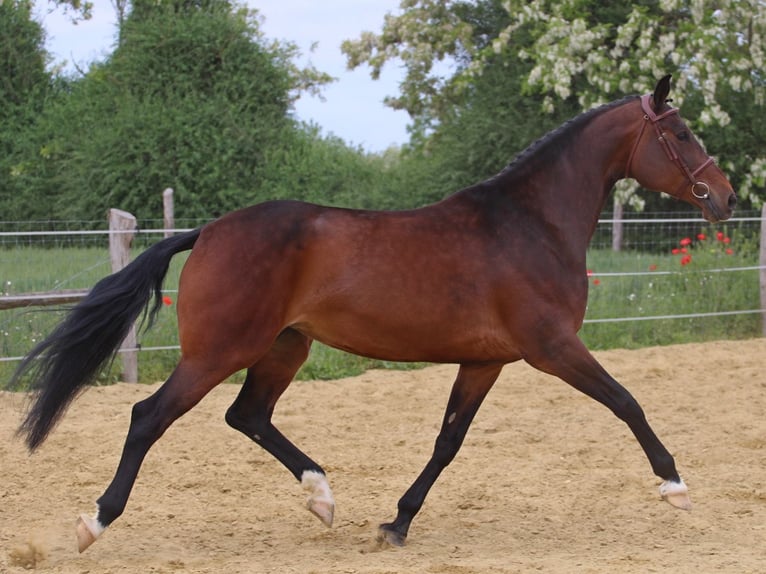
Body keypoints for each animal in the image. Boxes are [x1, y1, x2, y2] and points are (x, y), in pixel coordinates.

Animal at [10, 75, 736, 553]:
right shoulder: (551, 347)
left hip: (284, 347)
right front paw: (674, 485)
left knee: (248, 416)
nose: (726, 198)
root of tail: (207, 231)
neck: (530, 224)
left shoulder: (486, 361)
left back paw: (323, 498)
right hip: (219, 351)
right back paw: (94, 522)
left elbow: (447, 442)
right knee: (148, 417)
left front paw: (397, 523)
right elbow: (627, 401)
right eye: (681, 132)